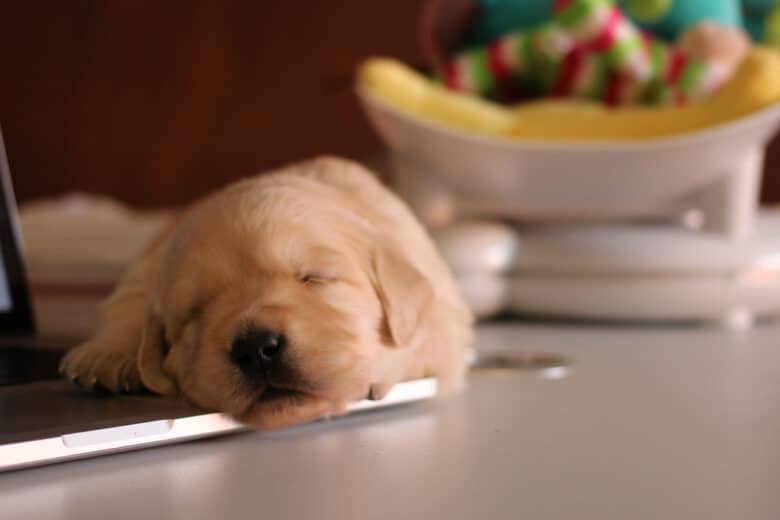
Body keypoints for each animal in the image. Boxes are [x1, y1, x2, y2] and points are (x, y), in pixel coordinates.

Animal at [58, 157, 472, 430]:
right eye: (194, 312)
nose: (256, 347)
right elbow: (130, 300)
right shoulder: (148, 262)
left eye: (314, 278)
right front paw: (108, 354)